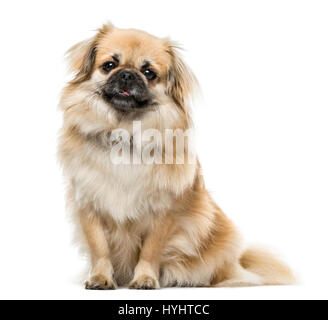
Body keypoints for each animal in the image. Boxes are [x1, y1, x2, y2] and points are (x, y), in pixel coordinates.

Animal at [57, 21, 296, 288]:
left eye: (149, 72)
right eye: (109, 65)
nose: (127, 74)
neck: (125, 134)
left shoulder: (164, 211)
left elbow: (150, 250)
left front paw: (145, 279)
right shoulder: (89, 206)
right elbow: (99, 249)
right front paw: (100, 278)